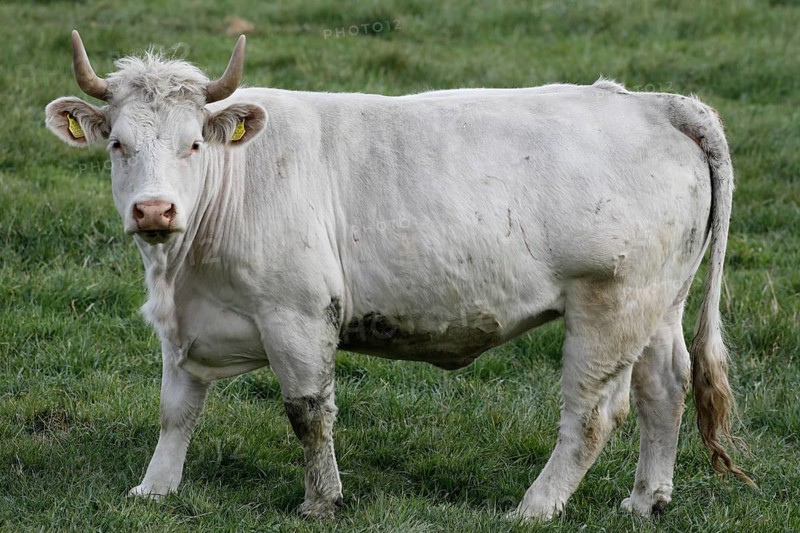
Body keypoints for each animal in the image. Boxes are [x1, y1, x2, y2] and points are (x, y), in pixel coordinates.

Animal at [45, 31, 753, 520]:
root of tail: (655, 103)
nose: (154, 210)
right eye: (118, 145)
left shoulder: (297, 314)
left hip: (610, 304)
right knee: (664, 387)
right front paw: (154, 489)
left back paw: (534, 507)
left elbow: (308, 413)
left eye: (193, 143)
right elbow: (176, 410)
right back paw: (645, 500)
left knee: (592, 414)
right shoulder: (186, 322)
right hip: (658, 303)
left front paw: (321, 503)